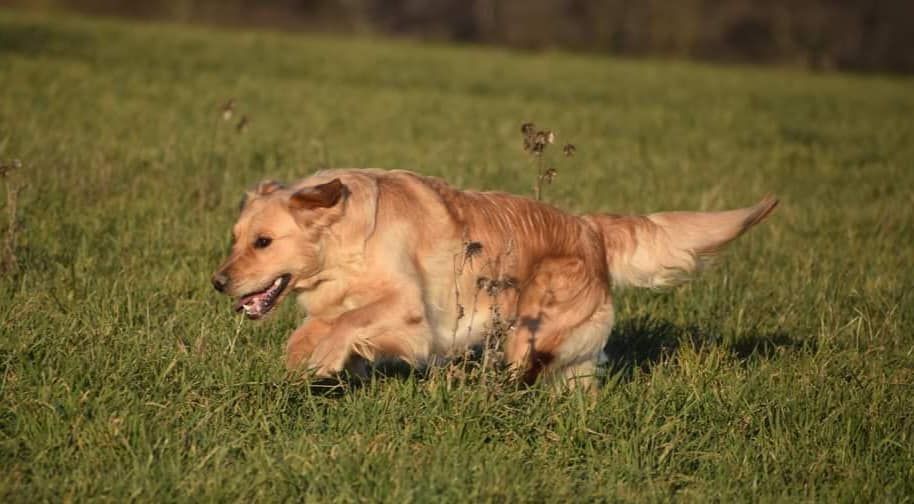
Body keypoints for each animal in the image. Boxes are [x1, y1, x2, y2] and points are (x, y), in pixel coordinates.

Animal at [210, 169, 772, 386]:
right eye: (236, 238)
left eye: (263, 242)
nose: (218, 282)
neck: (347, 242)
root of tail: (589, 227)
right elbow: (315, 328)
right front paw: (302, 360)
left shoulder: (411, 314)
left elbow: (352, 322)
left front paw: (324, 358)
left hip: (530, 330)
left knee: (527, 367)